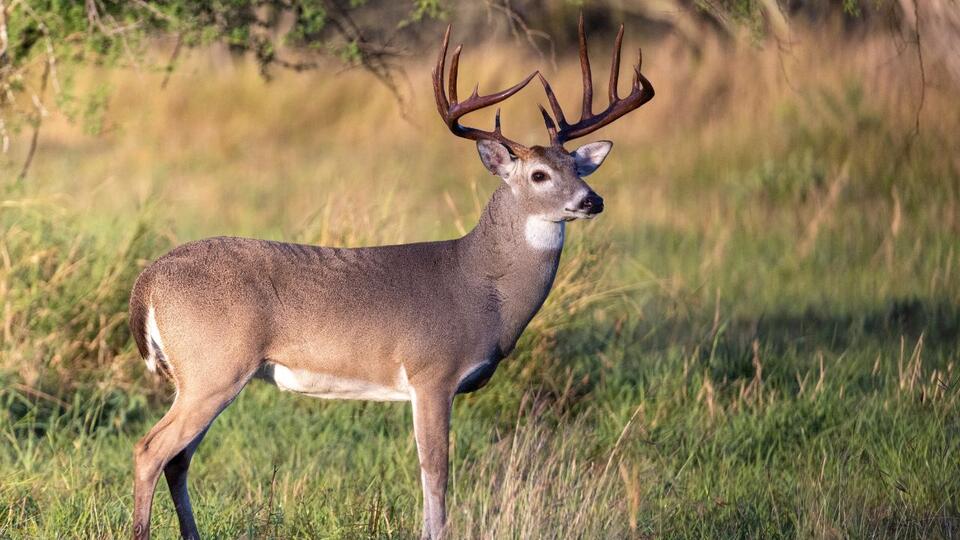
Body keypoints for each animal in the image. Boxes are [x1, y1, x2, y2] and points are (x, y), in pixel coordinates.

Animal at [127, 14, 653, 540]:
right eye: (540, 174)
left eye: (579, 168)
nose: (592, 200)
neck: (482, 287)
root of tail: (148, 281)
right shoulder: (433, 372)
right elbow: (436, 476)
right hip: (214, 368)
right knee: (150, 450)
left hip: (206, 376)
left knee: (178, 460)